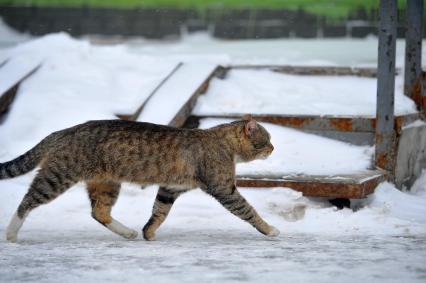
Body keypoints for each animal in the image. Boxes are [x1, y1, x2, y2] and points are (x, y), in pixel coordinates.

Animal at [0, 116, 280, 243]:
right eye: (266, 140)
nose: (274, 148)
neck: (224, 142)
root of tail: (63, 131)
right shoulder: (223, 188)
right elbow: (248, 210)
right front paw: (269, 229)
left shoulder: (170, 189)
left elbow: (159, 212)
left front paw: (148, 232)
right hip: (57, 177)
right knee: (27, 201)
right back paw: (12, 233)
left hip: (106, 184)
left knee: (99, 213)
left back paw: (128, 232)